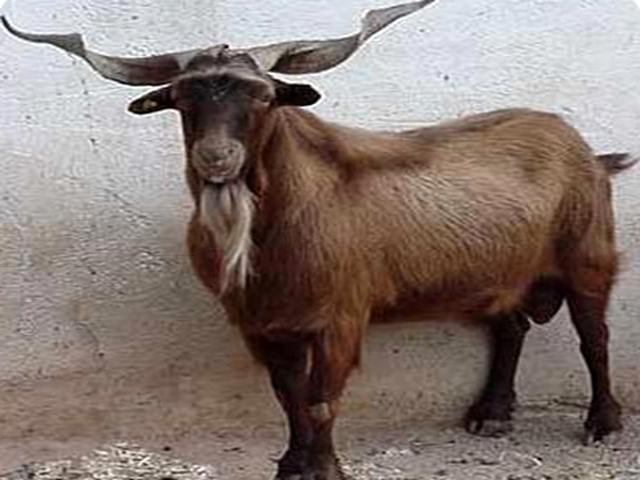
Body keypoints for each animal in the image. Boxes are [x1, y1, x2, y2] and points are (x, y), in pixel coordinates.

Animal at [3, 1, 635, 478]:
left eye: (262, 96)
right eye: (182, 99)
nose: (216, 159)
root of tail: (587, 151)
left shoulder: (341, 316)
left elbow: (321, 399)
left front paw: (326, 469)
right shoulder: (262, 326)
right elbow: (288, 398)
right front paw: (291, 465)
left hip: (589, 257)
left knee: (595, 338)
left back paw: (603, 424)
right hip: (501, 271)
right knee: (512, 326)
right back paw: (492, 414)